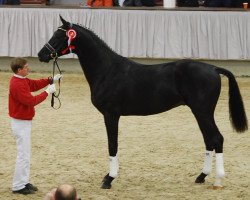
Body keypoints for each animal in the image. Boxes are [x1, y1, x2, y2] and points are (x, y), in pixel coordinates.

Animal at [38, 16, 248, 190]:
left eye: (59, 35)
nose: (41, 54)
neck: (107, 70)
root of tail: (213, 68)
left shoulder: (111, 115)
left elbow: (112, 145)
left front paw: (109, 179)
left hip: (203, 111)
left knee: (217, 139)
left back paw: (217, 181)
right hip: (201, 112)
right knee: (208, 140)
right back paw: (201, 176)